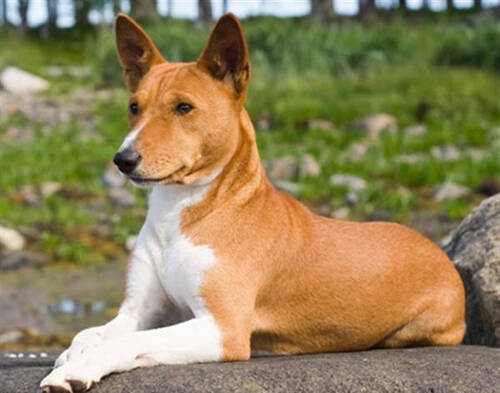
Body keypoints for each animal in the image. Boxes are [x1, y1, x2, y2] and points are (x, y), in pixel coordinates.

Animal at [41, 12, 466, 392]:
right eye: (133, 107)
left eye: (183, 107)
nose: (123, 160)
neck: (180, 216)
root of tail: (436, 249)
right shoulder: (140, 311)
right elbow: (90, 333)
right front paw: (75, 353)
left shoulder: (222, 327)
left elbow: (131, 342)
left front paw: (77, 370)